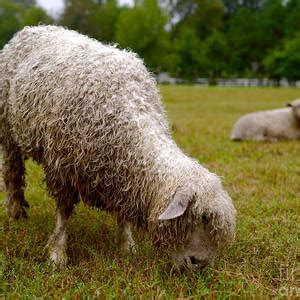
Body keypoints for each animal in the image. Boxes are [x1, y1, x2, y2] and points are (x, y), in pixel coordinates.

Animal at [0, 25, 237, 270]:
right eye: (199, 217)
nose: (199, 264)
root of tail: (34, 28)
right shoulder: (62, 167)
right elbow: (63, 214)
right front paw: (57, 254)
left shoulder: (122, 171)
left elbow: (124, 211)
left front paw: (126, 246)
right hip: (8, 131)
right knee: (12, 174)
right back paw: (16, 213)